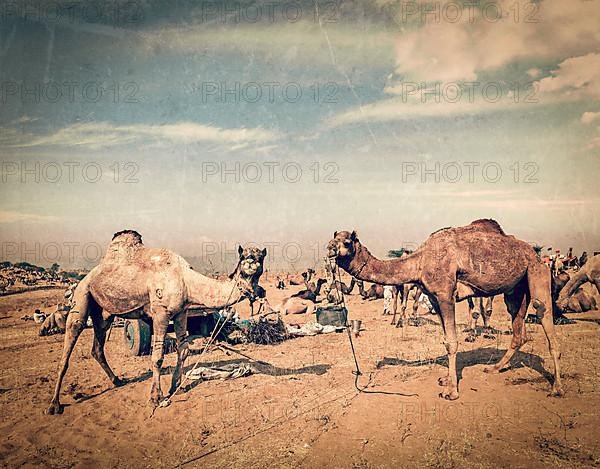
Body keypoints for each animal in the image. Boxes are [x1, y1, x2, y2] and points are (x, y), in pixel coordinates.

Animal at [44, 230, 264, 414]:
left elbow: (183, 350)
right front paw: (155, 398)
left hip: (104, 312)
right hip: (82, 293)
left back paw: (117, 381)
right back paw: (54, 405)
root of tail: (89, 274)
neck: (185, 280)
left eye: (260, 259)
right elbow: (157, 357)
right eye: (243, 258)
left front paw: (176, 387)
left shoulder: (181, 312)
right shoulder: (160, 312)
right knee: (72, 337)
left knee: (97, 346)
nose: (252, 264)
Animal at [328, 218, 564, 398]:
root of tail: (535, 254)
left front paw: (451, 391)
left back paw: (557, 388)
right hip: (515, 290)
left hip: (537, 272)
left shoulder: (445, 295)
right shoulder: (433, 298)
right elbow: (445, 339)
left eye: (347, 242)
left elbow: (452, 342)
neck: (419, 261)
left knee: (545, 317)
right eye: (333, 239)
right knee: (518, 331)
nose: (330, 249)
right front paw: (445, 379)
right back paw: (495, 367)